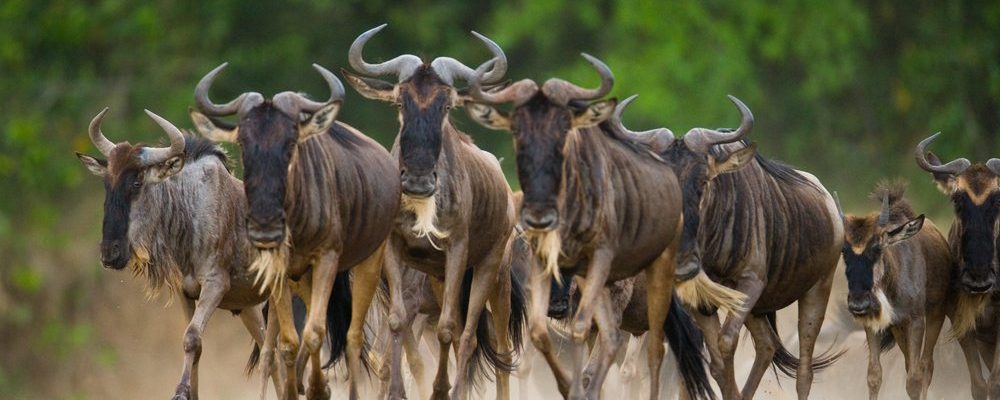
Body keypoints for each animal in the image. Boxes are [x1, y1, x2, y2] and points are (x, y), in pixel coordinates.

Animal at [76, 108, 278, 400]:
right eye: (106, 183)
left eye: (137, 181)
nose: (109, 253)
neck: (190, 211)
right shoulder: (186, 293)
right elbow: (195, 344)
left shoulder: (215, 285)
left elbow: (191, 337)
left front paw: (180, 391)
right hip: (252, 309)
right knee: (273, 357)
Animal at [840, 182, 972, 400]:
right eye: (843, 251)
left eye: (878, 247)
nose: (859, 304)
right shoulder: (874, 324)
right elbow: (874, 376)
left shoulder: (916, 321)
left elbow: (915, 379)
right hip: (899, 328)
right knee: (910, 364)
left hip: (935, 315)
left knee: (926, 367)